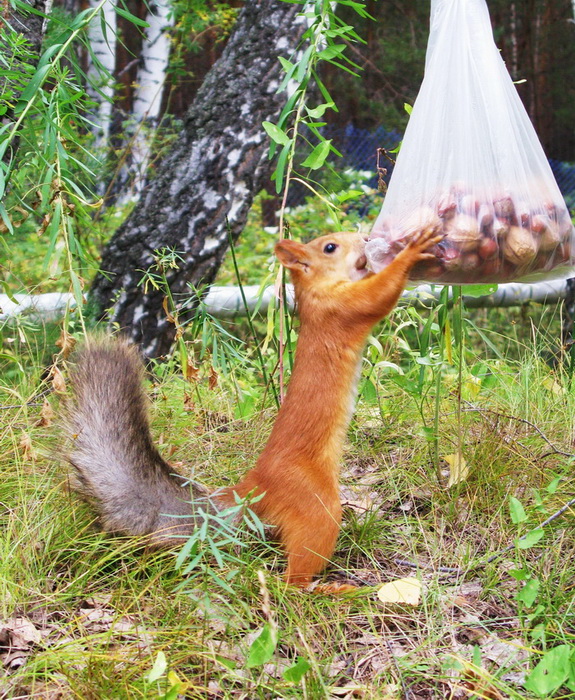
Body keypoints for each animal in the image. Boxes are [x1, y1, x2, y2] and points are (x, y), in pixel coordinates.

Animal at [66, 228, 440, 584]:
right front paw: (413, 249)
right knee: (293, 578)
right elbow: (377, 297)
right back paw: (329, 588)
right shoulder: (339, 306)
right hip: (317, 507)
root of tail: (255, 489)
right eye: (330, 247)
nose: (366, 238)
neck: (316, 289)